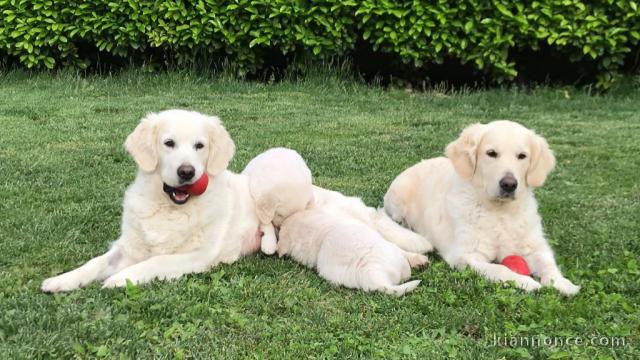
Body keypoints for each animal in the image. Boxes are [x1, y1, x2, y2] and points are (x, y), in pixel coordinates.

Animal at [42, 109, 262, 292]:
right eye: (169, 143)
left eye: (199, 146)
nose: (187, 172)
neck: (170, 208)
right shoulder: (128, 247)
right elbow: (96, 262)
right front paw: (63, 279)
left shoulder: (201, 254)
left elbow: (157, 260)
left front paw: (122, 277)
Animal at [384, 121, 580, 296]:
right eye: (491, 153)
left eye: (522, 156)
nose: (509, 184)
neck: (500, 212)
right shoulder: (466, 255)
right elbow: (499, 269)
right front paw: (526, 281)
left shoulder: (536, 246)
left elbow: (548, 263)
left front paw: (563, 283)